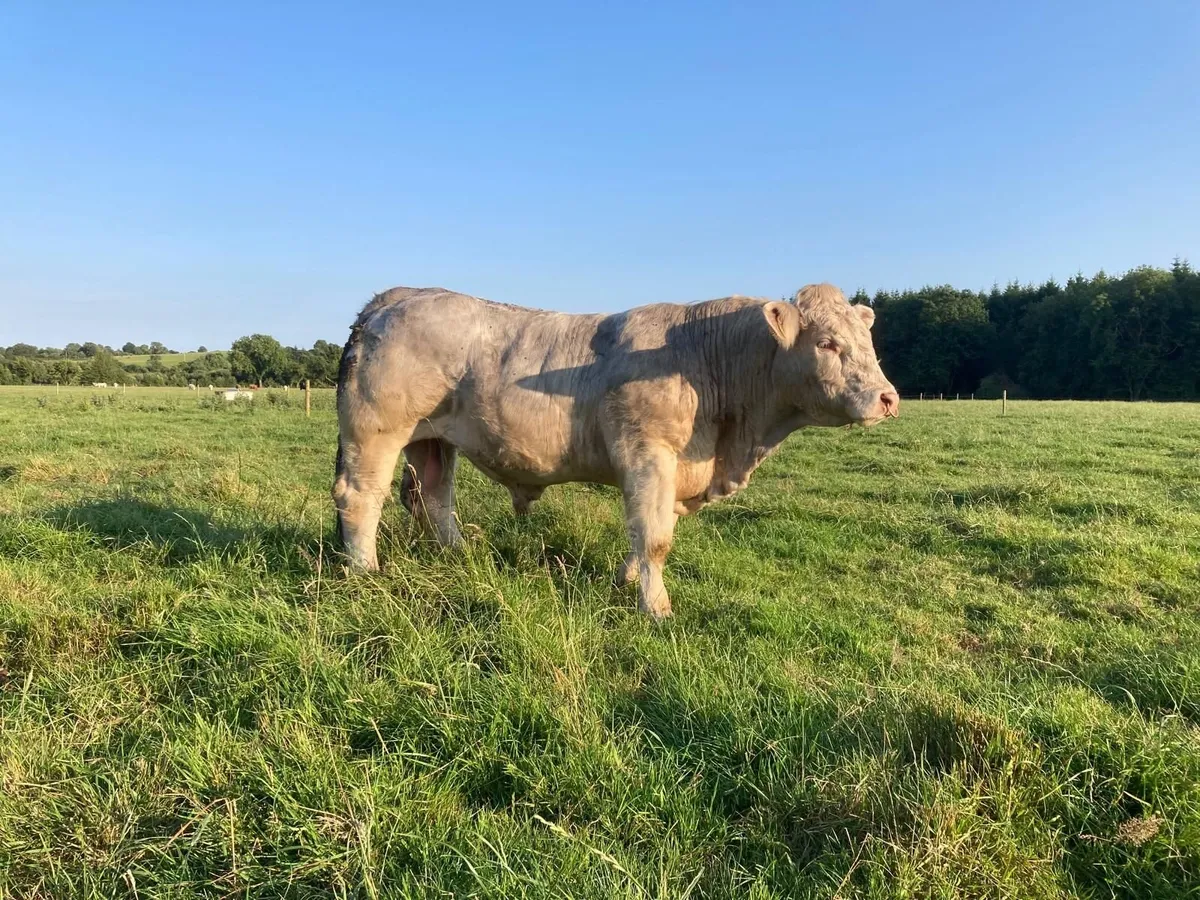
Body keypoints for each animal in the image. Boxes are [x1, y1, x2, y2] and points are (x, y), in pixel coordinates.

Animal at [333, 284, 898, 618]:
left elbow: (650, 532)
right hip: (376, 431)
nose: (889, 398)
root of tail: (396, 297)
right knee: (361, 497)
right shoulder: (648, 453)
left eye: (868, 342)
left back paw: (460, 556)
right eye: (827, 343)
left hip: (432, 438)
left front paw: (627, 581)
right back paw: (365, 573)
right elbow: (655, 537)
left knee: (433, 496)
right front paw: (657, 608)